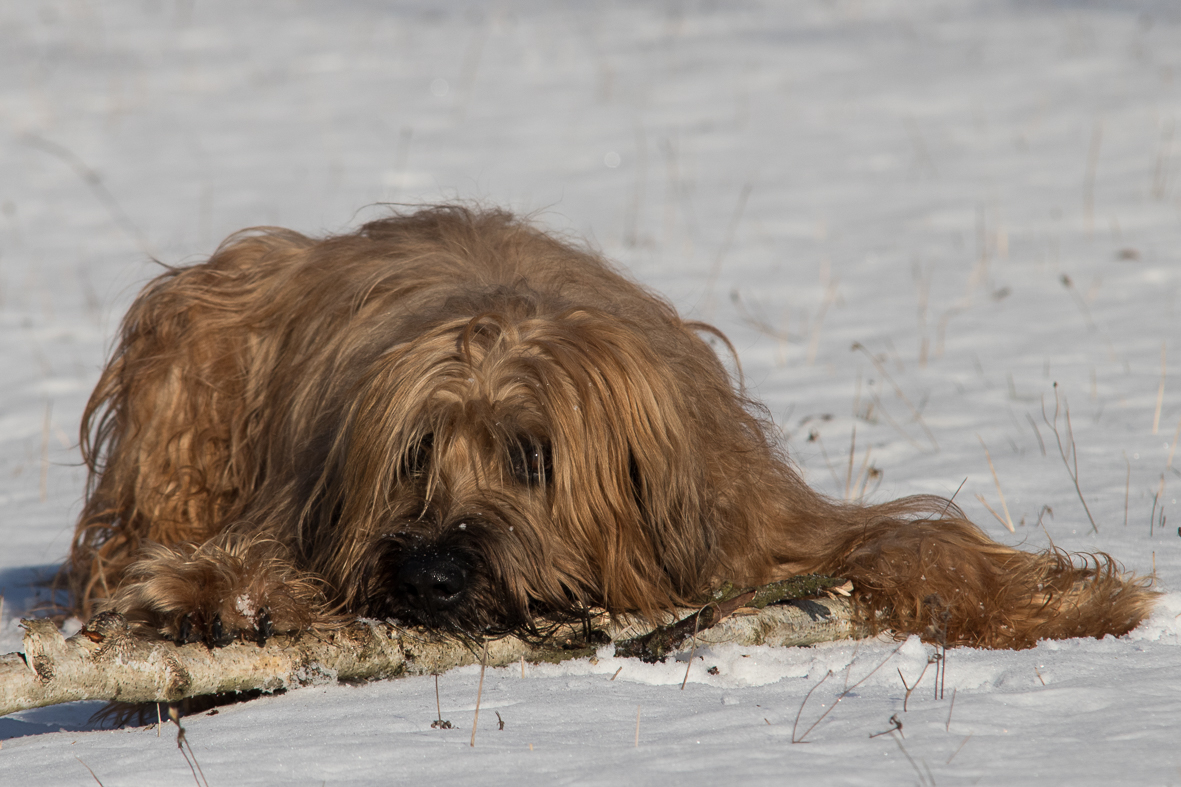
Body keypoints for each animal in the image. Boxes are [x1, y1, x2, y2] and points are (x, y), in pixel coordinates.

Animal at [67, 205, 1152, 647]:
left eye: (531, 456)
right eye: (415, 453)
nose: (430, 575)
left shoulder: (758, 526)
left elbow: (917, 544)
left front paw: (1082, 604)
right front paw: (213, 593)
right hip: (189, 347)